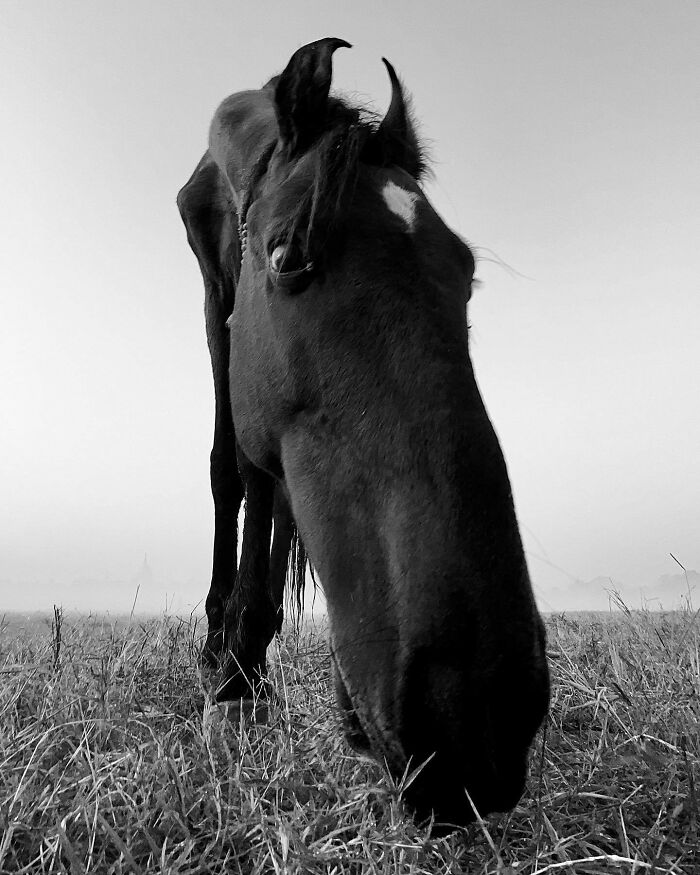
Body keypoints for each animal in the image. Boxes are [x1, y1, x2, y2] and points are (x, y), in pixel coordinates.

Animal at [177, 37, 550, 828]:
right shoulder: (217, 291)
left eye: (466, 273)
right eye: (287, 257)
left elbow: (266, 491)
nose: (476, 705)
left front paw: (245, 663)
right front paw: (229, 674)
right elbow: (236, 469)